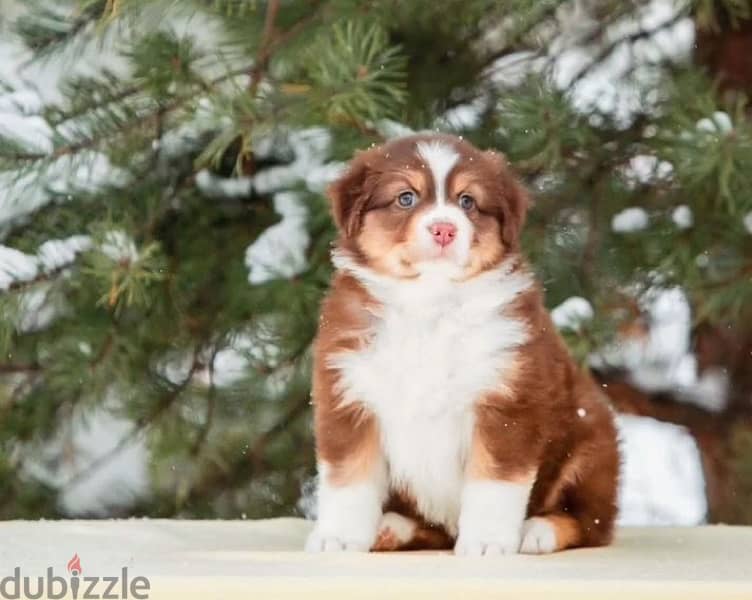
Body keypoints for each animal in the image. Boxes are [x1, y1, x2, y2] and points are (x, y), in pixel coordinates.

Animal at [306, 134, 616, 556]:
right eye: (406, 197)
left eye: (467, 201)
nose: (444, 230)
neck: (430, 303)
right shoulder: (348, 395)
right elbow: (348, 479)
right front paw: (337, 538)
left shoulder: (507, 402)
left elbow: (494, 484)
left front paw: (486, 542)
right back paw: (390, 527)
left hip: (590, 438)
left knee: (590, 522)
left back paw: (537, 531)